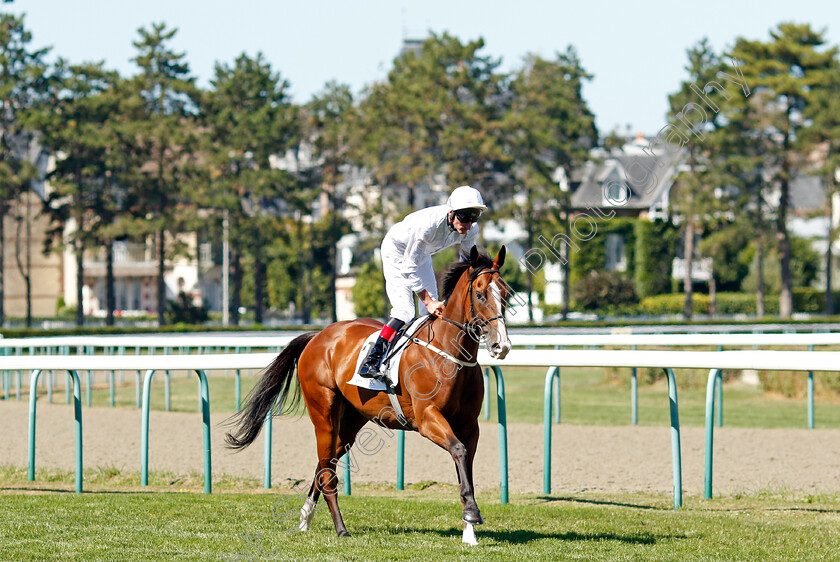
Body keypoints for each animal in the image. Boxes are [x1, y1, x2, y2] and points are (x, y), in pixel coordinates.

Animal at [225, 245, 512, 532]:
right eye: (479, 294)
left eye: (507, 294)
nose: (502, 346)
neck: (448, 354)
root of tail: (318, 336)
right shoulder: (427, 418)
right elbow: (459, 450)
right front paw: (471, 511)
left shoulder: (469, 425)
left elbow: (465, 460)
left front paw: (469, 516)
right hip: (324, 413)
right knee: (328, 470)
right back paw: (340, 529)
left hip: (351, 419)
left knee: (325, 463)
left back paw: (306, 517)